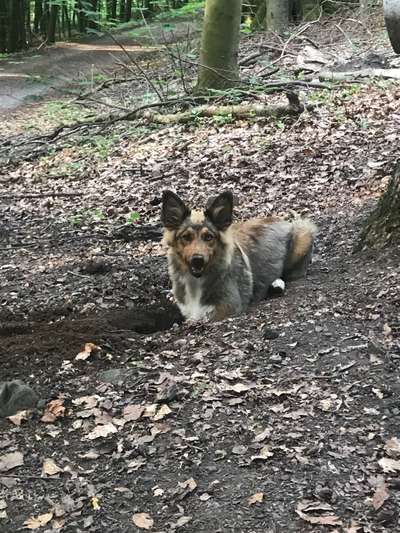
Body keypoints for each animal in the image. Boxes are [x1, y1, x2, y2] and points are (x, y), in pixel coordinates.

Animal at [161, 192, 318, 324]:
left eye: (208, 237)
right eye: (186, 237)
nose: (197, 259)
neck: (196, 281)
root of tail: (283, 220)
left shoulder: (228, 307)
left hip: (304, 233)